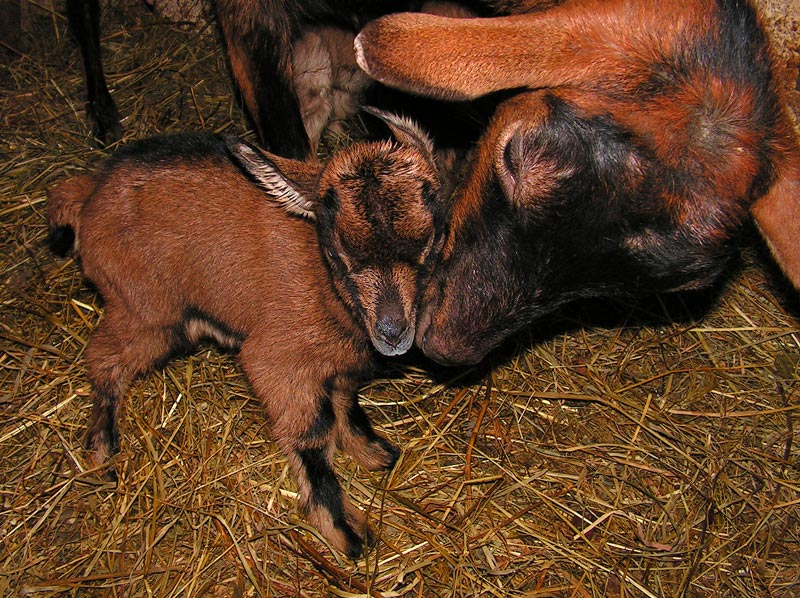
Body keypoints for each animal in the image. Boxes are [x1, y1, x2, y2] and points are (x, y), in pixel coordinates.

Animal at [47, 110, 444, 560]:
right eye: (335, 252)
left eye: (432, 240)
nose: (392, 333)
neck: (326, 289)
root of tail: (89, 194)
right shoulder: (278, 362)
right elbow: (312, 433)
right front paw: (344, 530)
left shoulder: (339, 363)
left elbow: (345, 403)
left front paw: (373, 452)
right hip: (144, 310)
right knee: (104, 360)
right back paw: (101, 450)